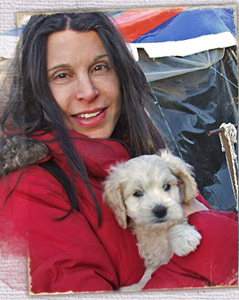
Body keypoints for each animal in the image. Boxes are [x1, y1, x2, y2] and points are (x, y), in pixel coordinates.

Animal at [102, 151, 202, 292]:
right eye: (138, 192)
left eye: (166, 186)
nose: (160, 210)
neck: (157, 232)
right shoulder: (154, 260)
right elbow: (147, 278)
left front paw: (183, 237)